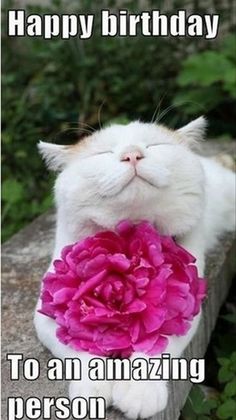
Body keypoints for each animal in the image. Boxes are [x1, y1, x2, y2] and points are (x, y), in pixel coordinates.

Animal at [34, 116, 235, 418]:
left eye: (154, 145)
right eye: (103, 153)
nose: (132, 154)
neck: (130, 233)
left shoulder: (186, 304)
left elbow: (159, 344)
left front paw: (140, 392)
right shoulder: (47, 311)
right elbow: (73, 347)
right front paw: (93, 388)